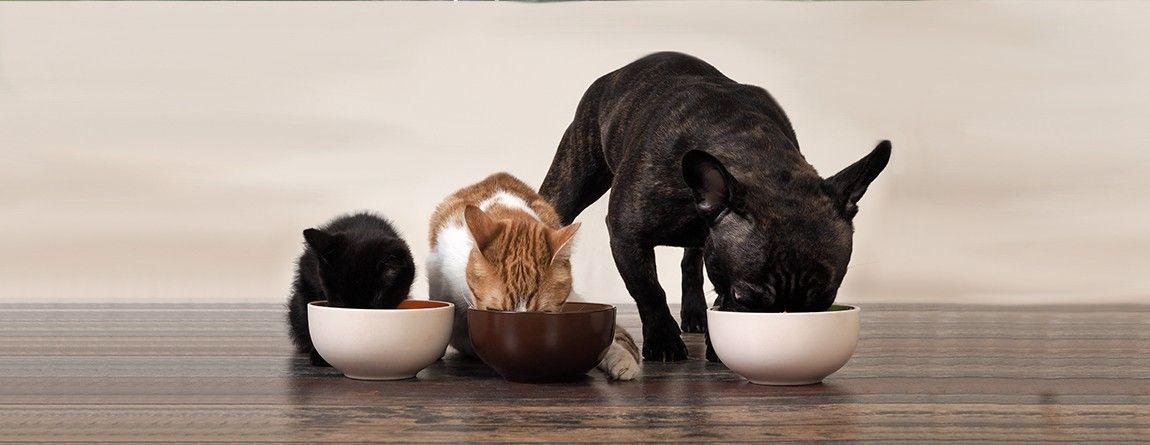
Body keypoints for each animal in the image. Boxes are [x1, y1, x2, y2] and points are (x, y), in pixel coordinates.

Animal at [539, 52, 890, 362]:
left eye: (826, 300)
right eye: (743, 298)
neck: (755, 155)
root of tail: (616, 74)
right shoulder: (627, 235)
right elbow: (649, 290)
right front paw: (664, 341)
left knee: (691, 261)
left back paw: (695, 312)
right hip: (573, 177)